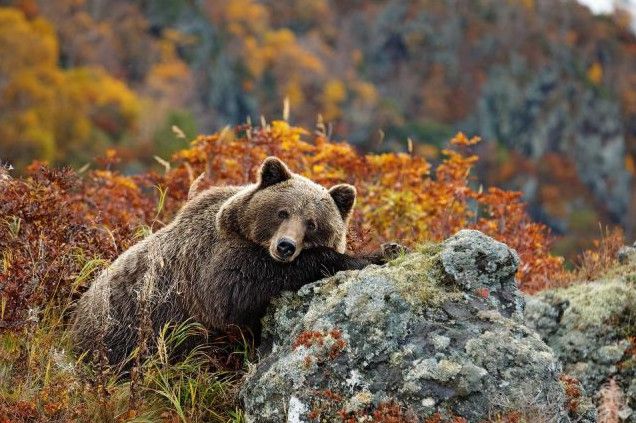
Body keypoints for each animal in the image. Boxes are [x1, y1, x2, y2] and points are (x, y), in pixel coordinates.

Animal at [74, 157, 400, 366]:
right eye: (282, 212)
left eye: (312, 223)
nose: (285, 246)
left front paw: (389, 248)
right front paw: (370, 255)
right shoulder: (208, 265)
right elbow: (234, 291)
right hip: (123, 331)